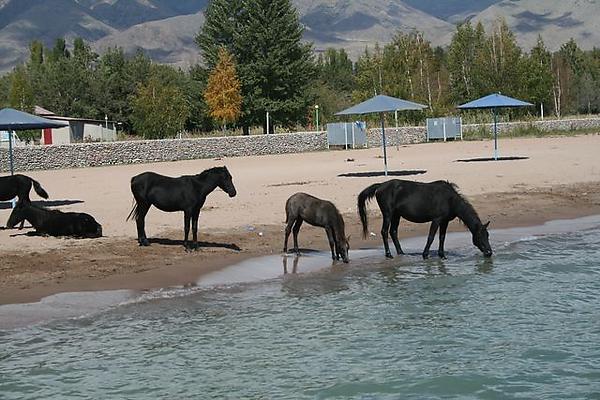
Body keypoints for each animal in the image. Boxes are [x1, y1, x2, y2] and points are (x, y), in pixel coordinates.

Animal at [358, 179, 492, 259]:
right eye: (480, 236)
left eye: (488, 235)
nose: (489, 253)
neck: (450, 199)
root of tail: (380, 186)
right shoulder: (436, 220)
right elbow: (431, 237)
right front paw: (425, 255)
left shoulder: (444, 221)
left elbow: (442, 237)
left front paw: (442, 255)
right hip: (388, 214)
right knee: (384, 232)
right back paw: (389, 254)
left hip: (396, 215)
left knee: (393, 232)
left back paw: (401, 252)